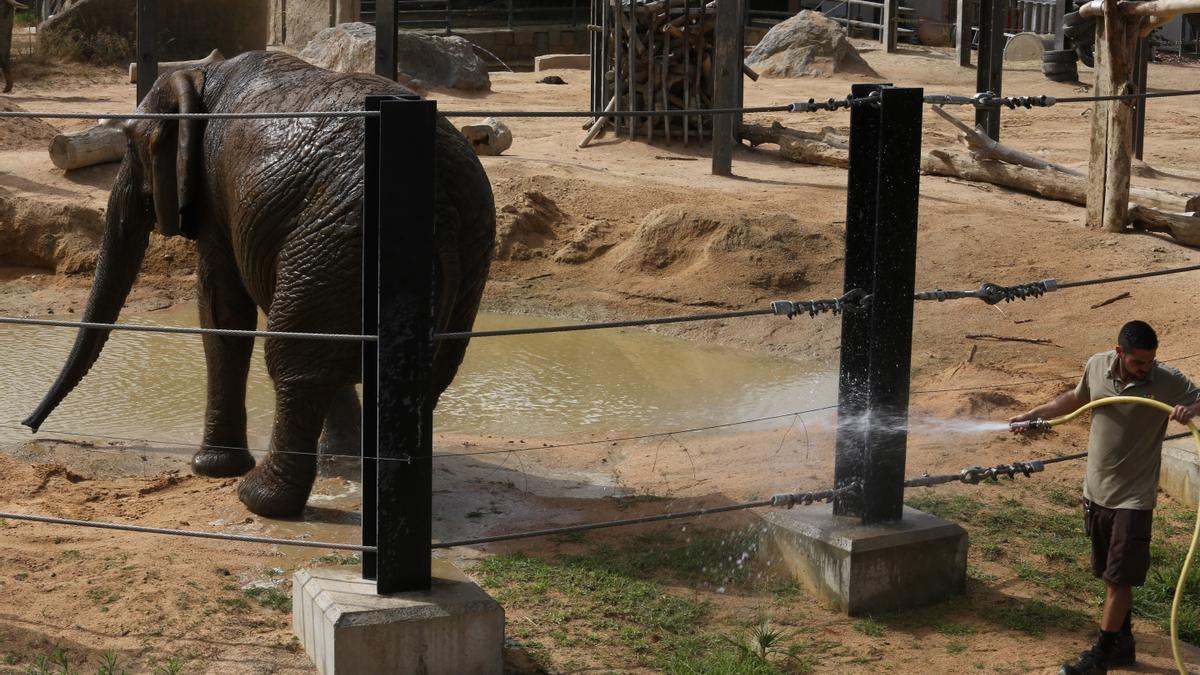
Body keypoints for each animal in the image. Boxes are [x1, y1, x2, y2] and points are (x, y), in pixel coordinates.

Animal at [25, 51, 499, 514]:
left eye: (128, 144)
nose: (28, 425)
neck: (202, 73)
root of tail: (440, 203)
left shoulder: (216, 193)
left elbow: (222, 309)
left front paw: (212, 469)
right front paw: (342, 460)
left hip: (338, 235)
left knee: (297, 361)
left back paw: (260, 500)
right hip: (452, 247)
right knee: (413, 368)